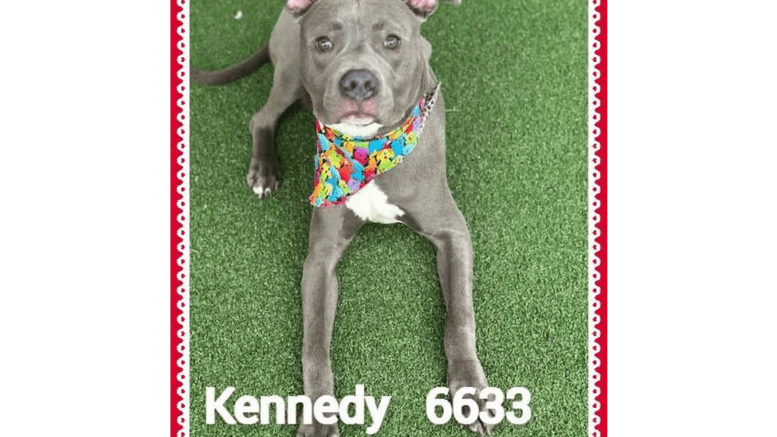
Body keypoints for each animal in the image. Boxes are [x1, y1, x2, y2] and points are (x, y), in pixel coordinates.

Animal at [194, 0, 498, 432]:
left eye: (392, 41)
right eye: (324, 42)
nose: (358, 82)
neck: (368, 150)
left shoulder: (451, 230)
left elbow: (459, 316)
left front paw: (471, 389)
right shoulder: (320, 260)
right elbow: (314, 345)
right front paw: (319, 416)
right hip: (291, 74)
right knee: (262, 116)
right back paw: (264, 170)